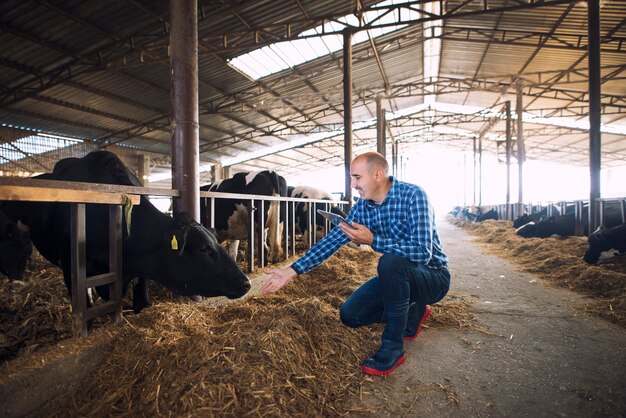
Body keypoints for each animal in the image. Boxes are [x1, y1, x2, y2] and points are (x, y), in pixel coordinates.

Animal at [3, 152, 251, 312]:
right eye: (203, 248)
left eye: (215, 242)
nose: (246, 282)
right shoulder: (70, 266)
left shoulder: (142, 270)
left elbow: (141, 301)